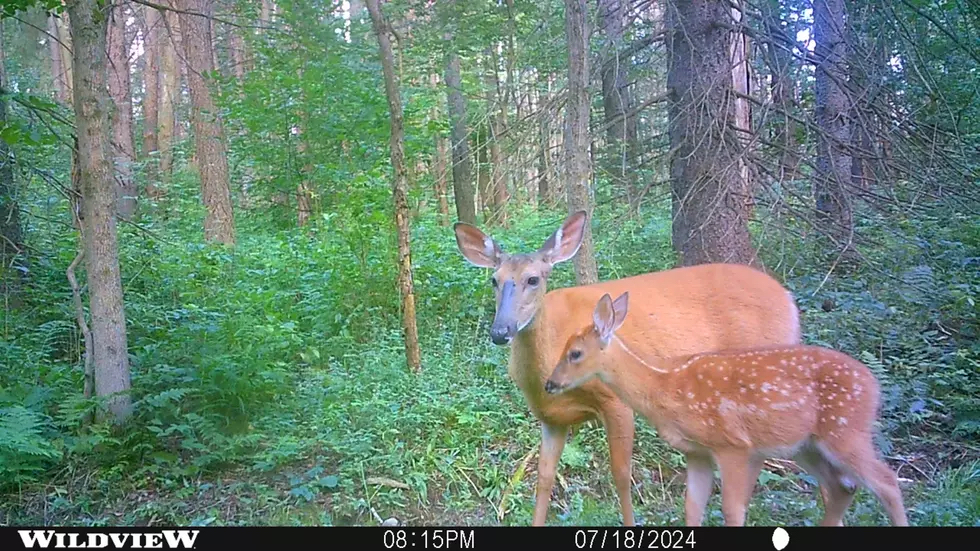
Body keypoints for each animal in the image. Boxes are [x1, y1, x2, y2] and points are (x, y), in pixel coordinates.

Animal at [453, 210, 802, 526]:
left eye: (533, 279)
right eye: (494, 280)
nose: (501, 330)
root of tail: (789, 300)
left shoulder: (616, 400)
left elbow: (621, 475)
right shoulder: (551, 418)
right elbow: (543, 479)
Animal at [544, 291, 909, 527]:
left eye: (575, 353)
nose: (549, 383)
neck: (665, 385)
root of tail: (875, 387)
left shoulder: (733, 444)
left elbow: (733, 510)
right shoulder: (697, 452)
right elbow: (692, 509)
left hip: (845, 429)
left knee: (887, 481)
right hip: (807, 445)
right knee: (843, 486)